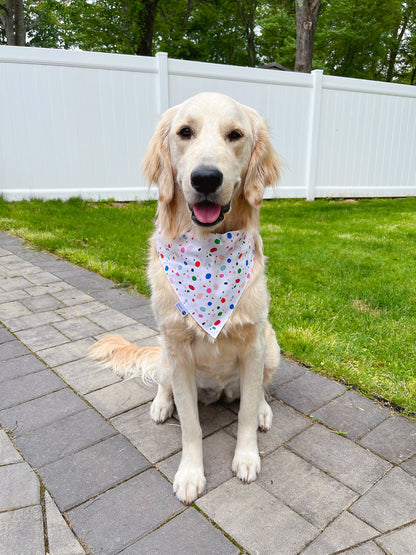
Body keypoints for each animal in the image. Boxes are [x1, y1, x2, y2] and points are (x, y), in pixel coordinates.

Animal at [89, 93, 282, 506]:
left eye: (235, 135)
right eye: (185, 132)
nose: (206, 178)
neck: (208, 256)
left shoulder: (253, 344)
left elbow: (245, 414)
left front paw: (247, 457)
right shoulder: (177, 350)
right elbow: (190, 426)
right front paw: (191, 474)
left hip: (272, 346)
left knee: (258, 391)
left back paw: (262, 409)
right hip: (164, 352)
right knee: (165, 388)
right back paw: (161, 405)